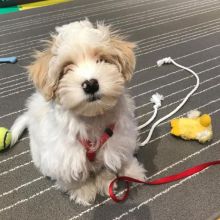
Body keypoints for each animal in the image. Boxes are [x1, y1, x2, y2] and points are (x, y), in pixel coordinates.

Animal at [11, 19, 146, 205]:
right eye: (67, 68)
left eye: (101, 59)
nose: (90, 84)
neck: (92, 117)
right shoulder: (64, 155)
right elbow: (72, 176)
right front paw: (83, 190)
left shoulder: (119, 137)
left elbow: (118, 157)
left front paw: (129, 172)